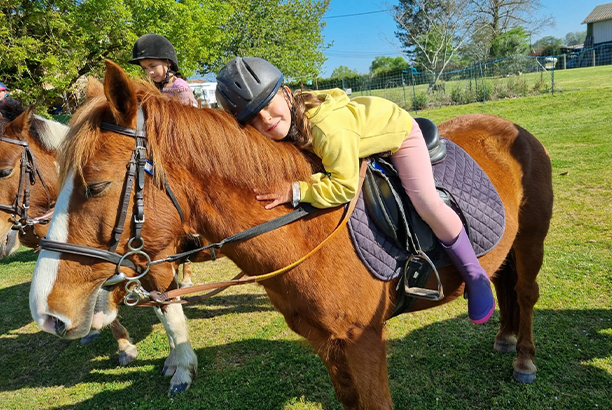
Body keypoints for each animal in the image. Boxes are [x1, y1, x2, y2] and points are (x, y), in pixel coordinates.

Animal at [29, 62, 556, 408]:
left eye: (96, 185)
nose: (46, 314)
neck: (307, 231)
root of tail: (509, 127)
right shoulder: (328, 345)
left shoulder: (364, 343)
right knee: (506, 284)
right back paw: (504, 337)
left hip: (531, 241)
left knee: (525, 293)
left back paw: (523, 359)